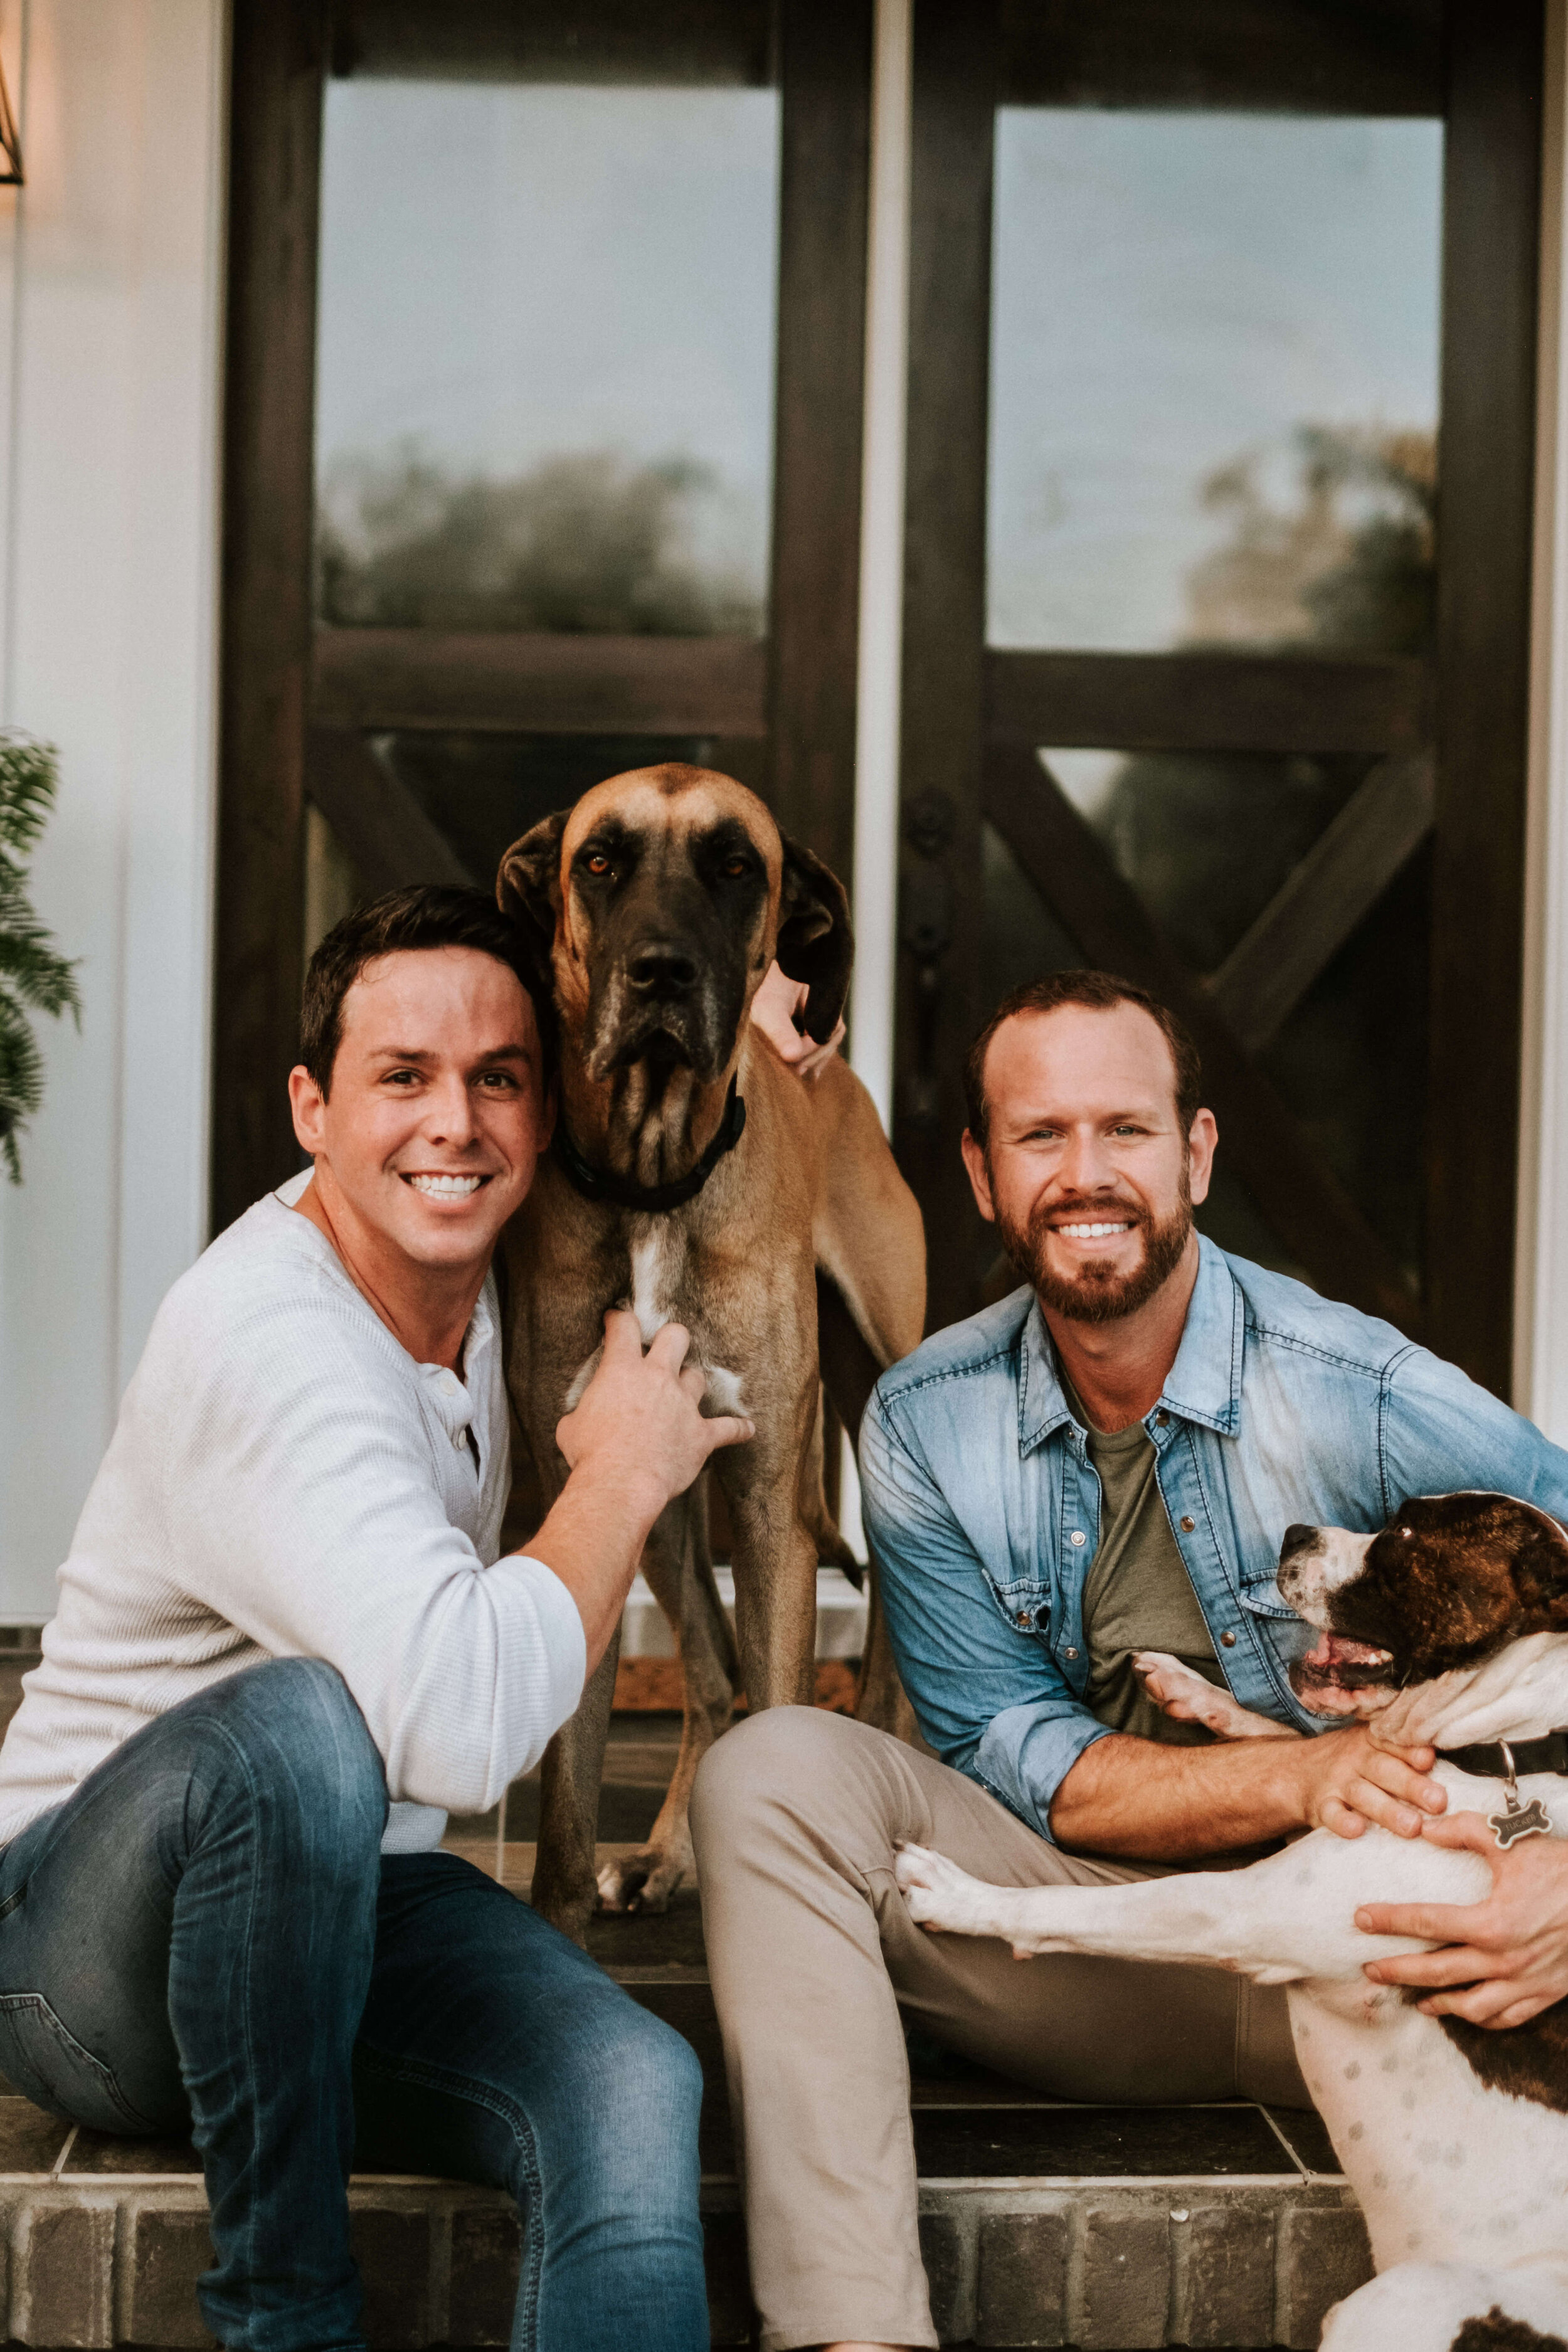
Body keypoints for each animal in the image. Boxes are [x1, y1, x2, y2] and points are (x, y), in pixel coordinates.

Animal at [903, 1486, 1568, 2352]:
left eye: (1404, 1533)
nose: (1294, 1532)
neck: (1517, 1744)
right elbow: (1292, 1744)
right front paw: (1197, 1693)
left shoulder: (1241, 1912)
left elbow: (1087, 1908)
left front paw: (958, 1895)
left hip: (1403, 2303)